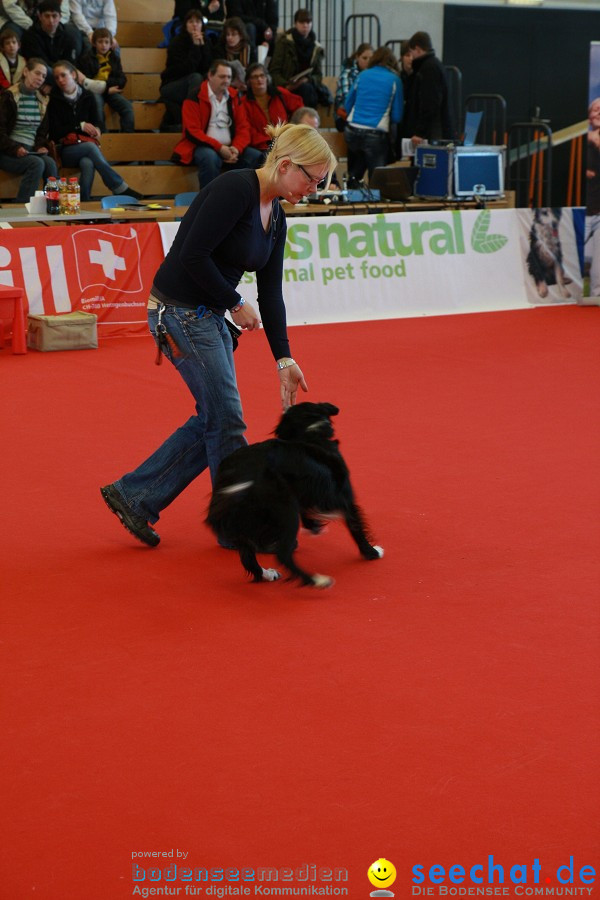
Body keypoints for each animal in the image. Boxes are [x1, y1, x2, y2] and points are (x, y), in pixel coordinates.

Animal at [206, 402, 384, 588]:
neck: (309, 431)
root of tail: (239, 476)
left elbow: (310, 515)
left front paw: (315, 526)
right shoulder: (344, 497)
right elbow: (356, 526)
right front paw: (372, 552)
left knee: (248, 558)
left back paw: (268, 574)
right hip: (285, 510)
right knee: (283, 555)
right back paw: (317, 580)